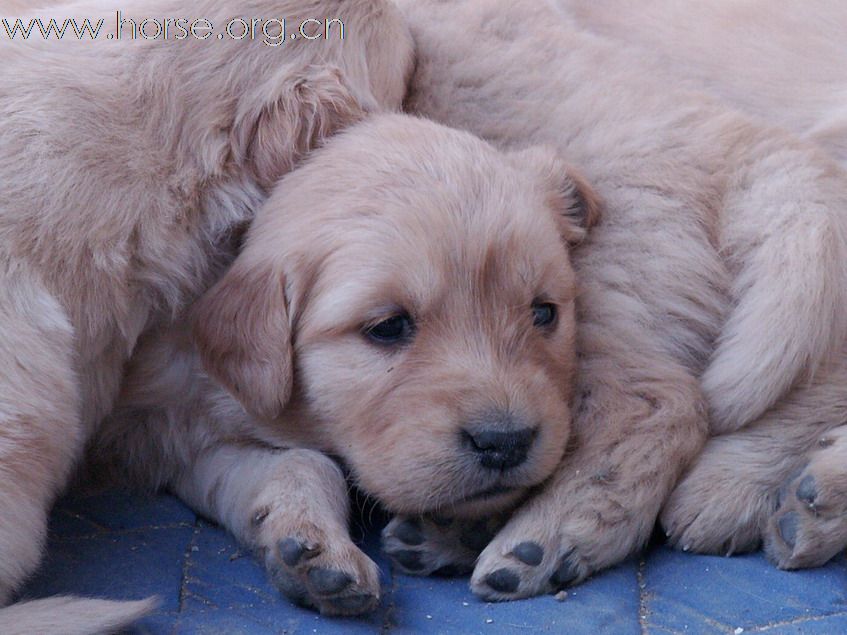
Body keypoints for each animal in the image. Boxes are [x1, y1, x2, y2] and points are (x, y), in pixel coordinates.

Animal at [88, 113, 604, 616]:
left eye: (544, 313)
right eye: (388, 327)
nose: (505, 442)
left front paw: (461, 530)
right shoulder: (156, 425)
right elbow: (303, 460)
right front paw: (308, 538)